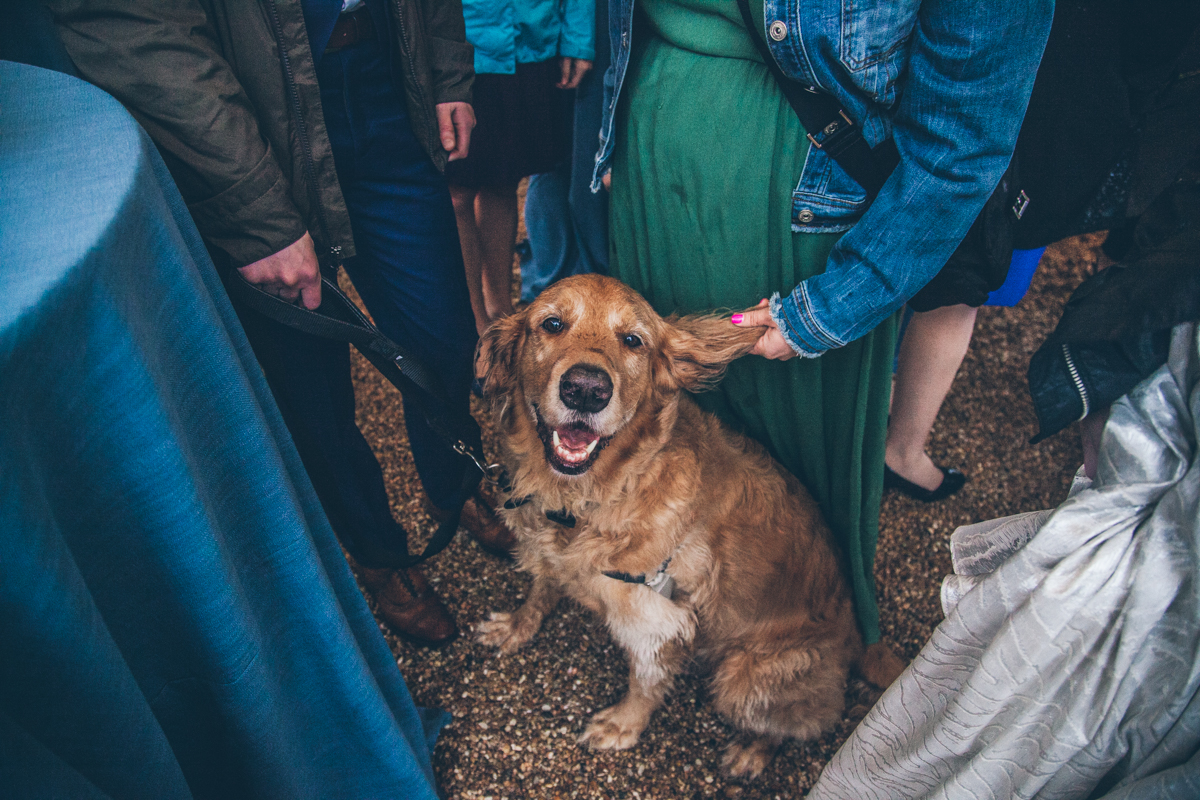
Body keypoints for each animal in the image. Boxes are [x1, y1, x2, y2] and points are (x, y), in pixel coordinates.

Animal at [472, 277, 897, 782]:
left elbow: (645, 681)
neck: (588, 499)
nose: (586, 389)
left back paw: (752, 751)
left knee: (799, 724)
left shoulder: (655, 616)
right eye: (552, 324)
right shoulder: (548, 551)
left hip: (741, 677)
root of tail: (858, 639)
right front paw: (516, 627)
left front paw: (623, 725)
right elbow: (539, 591)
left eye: (633, 340)